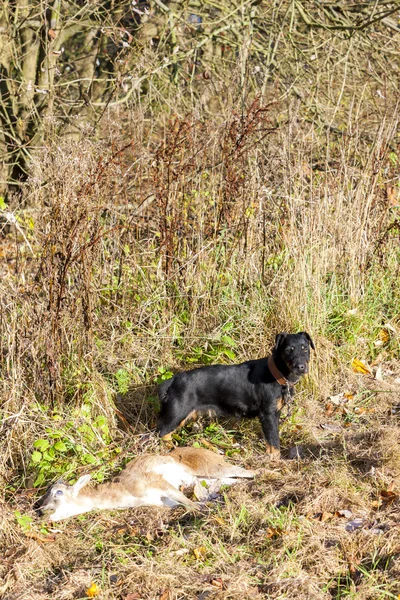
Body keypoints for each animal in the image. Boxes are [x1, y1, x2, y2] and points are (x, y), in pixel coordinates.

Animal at [34, 446, 253, 520]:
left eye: (58, 492)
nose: (41, 511)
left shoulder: (157, 481)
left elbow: (189, 503)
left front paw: (203, 508)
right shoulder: (164, 501)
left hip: (213, 467)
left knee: (250, 472)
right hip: (207, 479)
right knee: (229, 480)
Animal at [158, 332, 314, 454]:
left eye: (305, 349)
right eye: (288, 350)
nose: (301, 367)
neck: (276, 374)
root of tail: (172, 380)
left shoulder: (275, 413)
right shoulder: (268, 415)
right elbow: (273, 442)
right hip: (176, 415)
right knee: (161, 434)